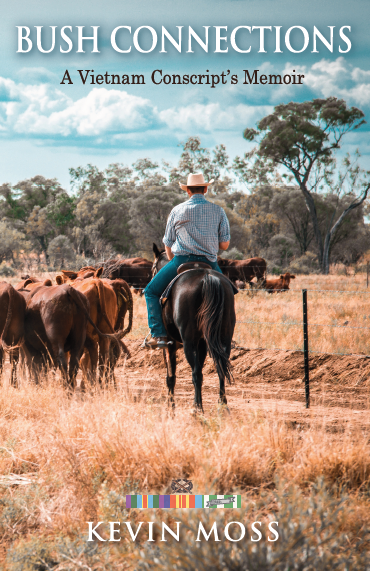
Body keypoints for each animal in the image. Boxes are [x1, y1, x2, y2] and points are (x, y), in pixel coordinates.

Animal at [152, 245, 236, 412]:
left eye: (152, 268)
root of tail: (207, 278)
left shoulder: (169, 344)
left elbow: (170, 377)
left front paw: (171, 407)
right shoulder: (202, 343)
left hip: (189, 342)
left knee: (196, 373)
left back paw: (197, 409)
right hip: (224, 338)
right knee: (220, 369)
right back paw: (222, 406)